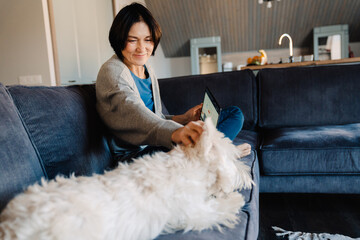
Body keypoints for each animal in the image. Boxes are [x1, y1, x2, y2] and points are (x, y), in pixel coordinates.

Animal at [0, 119, 253, 240]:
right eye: (231, 156)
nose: (248, 175)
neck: (188, 165)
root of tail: (9, 226)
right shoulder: (195, 213)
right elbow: (220, 207)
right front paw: (235, 199)